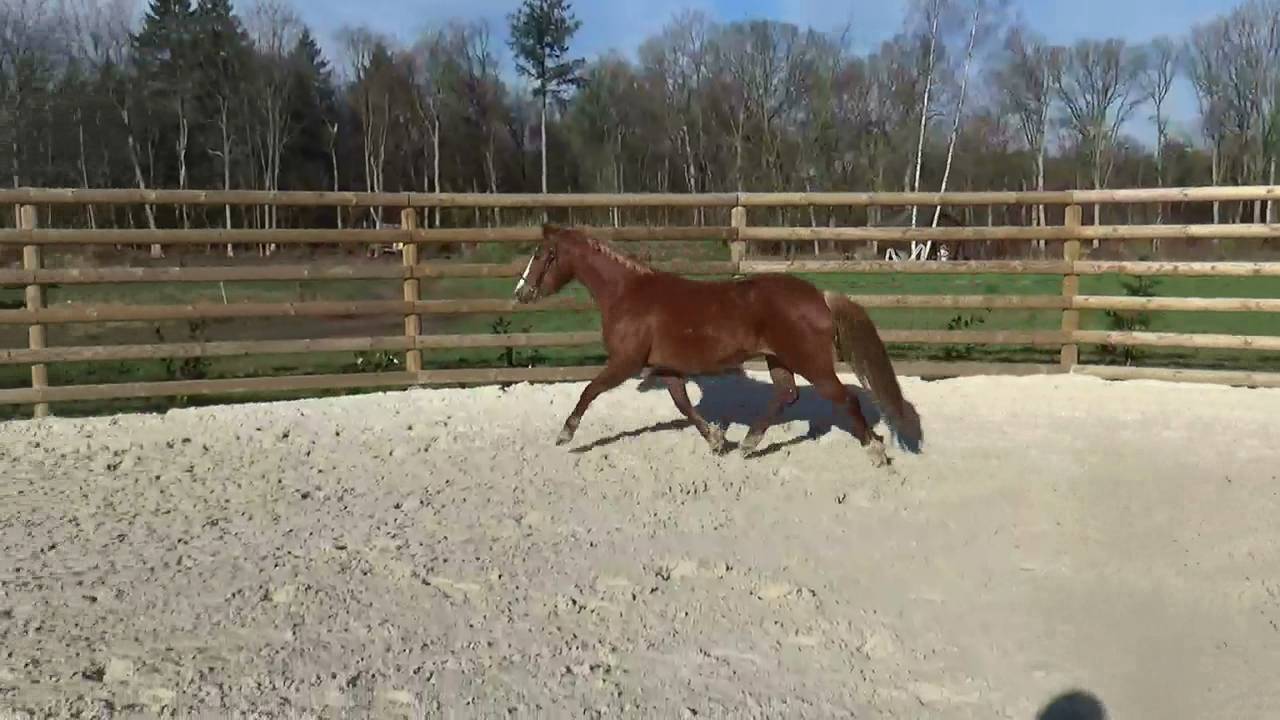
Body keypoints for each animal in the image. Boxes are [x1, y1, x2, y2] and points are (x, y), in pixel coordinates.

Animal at [513, 224, 922, 467]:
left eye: (541, 255)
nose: (520, 293)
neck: (628, 294)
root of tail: (819, 297)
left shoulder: (625, 362)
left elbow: (589, 390)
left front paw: (566, 434)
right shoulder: (667, 367)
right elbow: (682, 404)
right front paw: (716, 440)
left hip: (813, 364)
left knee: (844, 399)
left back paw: (876, 452)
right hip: (778, 359)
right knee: (786, 394)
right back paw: (748, 444)